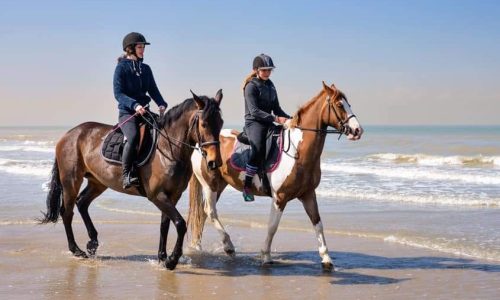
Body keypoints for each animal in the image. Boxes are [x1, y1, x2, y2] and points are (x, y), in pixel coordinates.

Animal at [40, 89, 224, 270]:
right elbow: (179, 223)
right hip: (71, 181)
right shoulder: (157, 195)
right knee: (67, 212)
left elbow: (165, 224)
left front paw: (162, 257)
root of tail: (68, 135)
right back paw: (76, 250)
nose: (215, 162)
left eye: (221, 123)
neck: (168, 149)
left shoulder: (172, 195)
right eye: (204, 124)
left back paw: (92, 244)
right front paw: (172, 260)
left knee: (82, 203)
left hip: (97, 182)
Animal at [188, 81, 364, 270]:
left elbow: (318, 223)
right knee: (210, 211)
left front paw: (326, 259)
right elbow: (272, 226)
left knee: (203, 213)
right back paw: (228, 246)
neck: (297, 152)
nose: (357, 130)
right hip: (210, 185)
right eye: (339, 105)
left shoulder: (308, 194)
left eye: (348, 103)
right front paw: (265, 256)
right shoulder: (280, 197)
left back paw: (197, 246)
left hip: (220, 185)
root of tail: (200, 145)